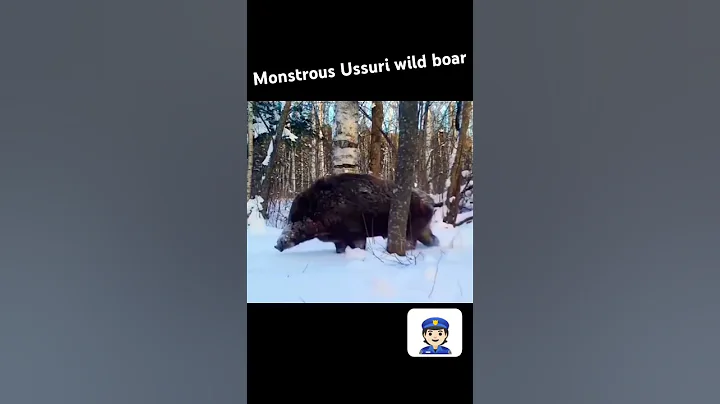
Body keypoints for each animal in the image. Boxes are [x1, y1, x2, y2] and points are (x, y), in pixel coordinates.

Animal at [274, 173, 441, 253]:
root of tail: (431, 201)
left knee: (412, 242)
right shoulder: (339, 239)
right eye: (290, 218)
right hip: (423, 228)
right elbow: (339, 249)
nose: (277, 245)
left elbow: (358, 246)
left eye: (297, 218)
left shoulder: (356, 233)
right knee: (432, 239)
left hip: (412, 228)